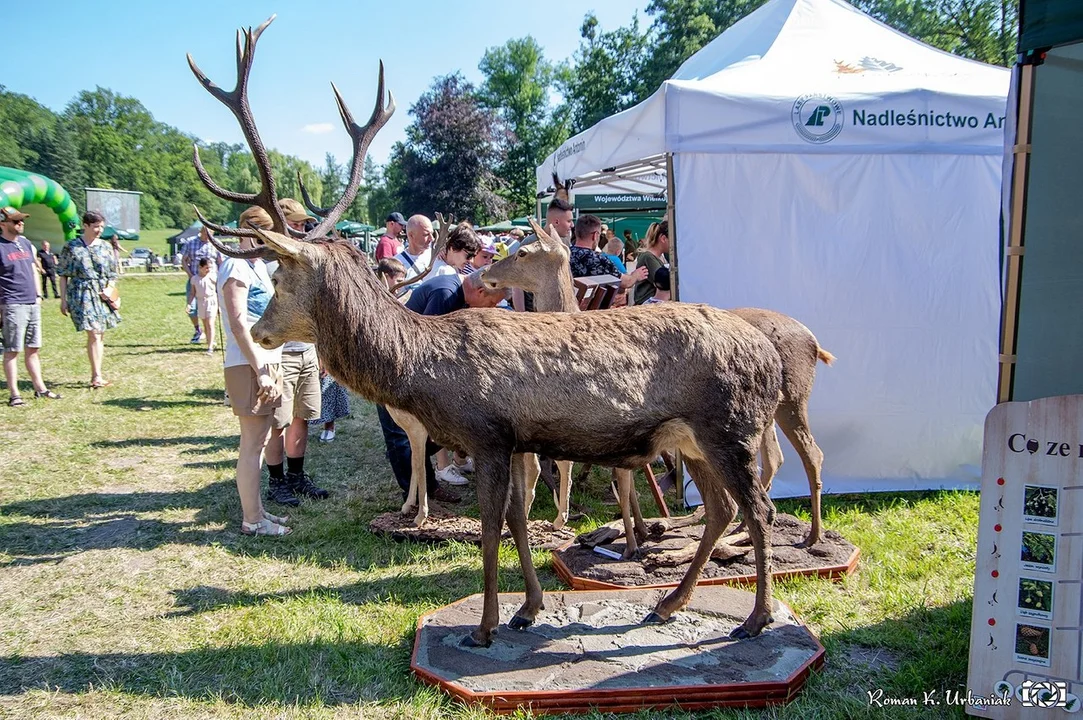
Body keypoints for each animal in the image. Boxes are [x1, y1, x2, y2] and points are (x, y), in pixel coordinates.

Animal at [192, 15, 788, 645]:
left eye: (279, 275)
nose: (259, 331)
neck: (424, 369)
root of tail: (769, 356)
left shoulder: (488, 433)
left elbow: (490, 531)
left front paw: (484, 625)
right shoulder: (517, 440)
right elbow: (519, 524)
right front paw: (528, 608)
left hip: (729, 425)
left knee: (759, 507)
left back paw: (755, 617)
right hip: (692, 437)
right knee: (723, 509)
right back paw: (669, 603)